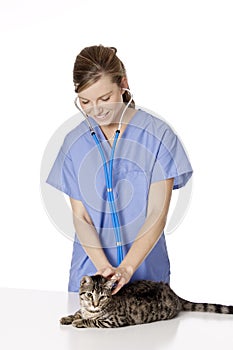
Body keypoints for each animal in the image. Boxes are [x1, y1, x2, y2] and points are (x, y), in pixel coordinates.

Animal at [60, 276, 233, 328]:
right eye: (90, 295)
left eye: (102, 297)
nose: (95, 303)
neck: (90, 310)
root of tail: (171, 291)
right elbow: (77, 312)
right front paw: (68, 317)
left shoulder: (114, 321)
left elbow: (92, 321)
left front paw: (79, 321)